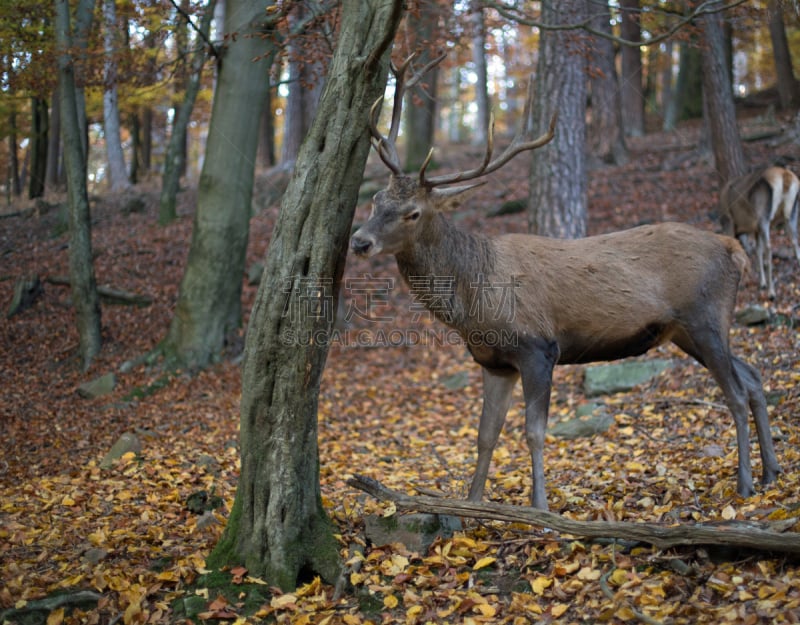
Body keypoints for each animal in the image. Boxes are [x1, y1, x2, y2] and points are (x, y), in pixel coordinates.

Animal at [350, 56, 780, 510]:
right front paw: (472, 505)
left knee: (735, 392)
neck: (474, 298)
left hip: (705, 316)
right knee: (753, 377)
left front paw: (539, 508)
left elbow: (534, 432)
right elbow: (486, 435)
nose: (359, 241)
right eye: (376, 200)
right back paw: (771, 472)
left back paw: (745, 483)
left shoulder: (539, 348)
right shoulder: (493, 361)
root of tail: (733, 248)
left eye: (412, 212)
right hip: (686, 330)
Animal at [720, 166, 800, 300]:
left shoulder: (729, 221)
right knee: (795, 241)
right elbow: (758, 251)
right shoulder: (755, 228)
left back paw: (771, 292)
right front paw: (762, 282)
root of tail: (785, 175)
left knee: (769, 248)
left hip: (763, 216)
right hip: (791, 214)